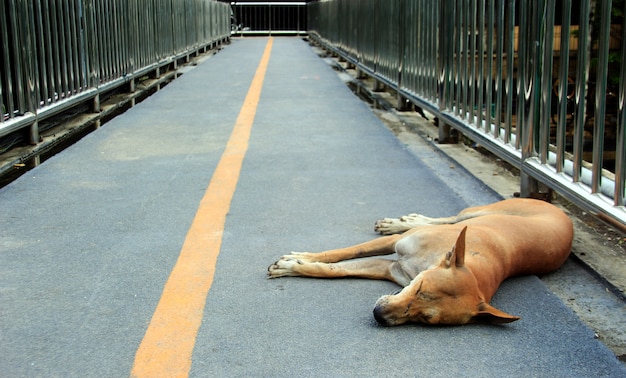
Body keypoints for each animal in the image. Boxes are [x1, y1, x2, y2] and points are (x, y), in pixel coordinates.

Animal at [266, 199, 572, 326]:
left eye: (426, 318)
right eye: (419, 287)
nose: (379, 315)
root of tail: (565, 216)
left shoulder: (388, 269)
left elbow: (333, 271)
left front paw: (296, 265)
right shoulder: (397, 246)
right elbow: (341, 253)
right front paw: (297, 260)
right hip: (479, 211)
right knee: (452, 218)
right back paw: (404, 221)